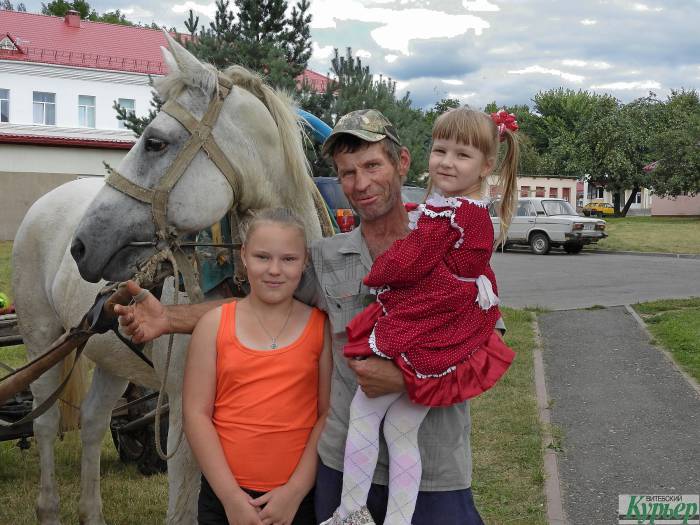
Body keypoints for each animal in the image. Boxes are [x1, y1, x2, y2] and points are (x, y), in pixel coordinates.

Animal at [13, 34, 326, 520]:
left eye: (155, 143)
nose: (81, 245)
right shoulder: (184, 418)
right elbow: (182, 511)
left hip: (109, 355)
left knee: (92, 422)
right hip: (41, 338)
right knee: (45, 423)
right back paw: (49, 510)